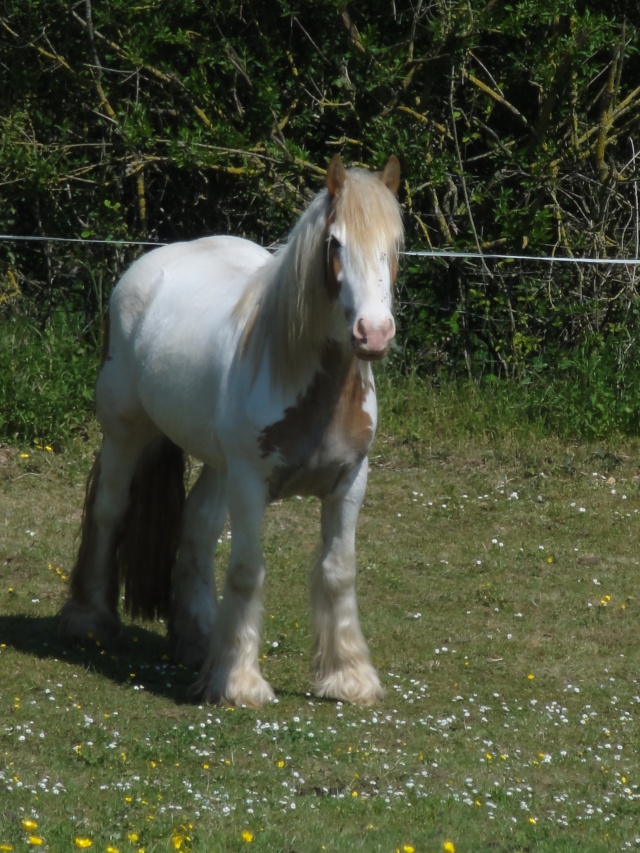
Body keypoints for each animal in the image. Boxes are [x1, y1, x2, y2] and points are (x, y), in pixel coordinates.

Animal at [58, 153, 400, 704]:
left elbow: (338, 571)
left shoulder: (349, 482)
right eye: (334, 243)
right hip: (126, 433)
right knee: (109, 509)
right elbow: (246, 572)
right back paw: (89, 621)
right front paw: (240, 682)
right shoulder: (249, 483)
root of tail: (157, 261)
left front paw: (348, 676)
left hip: (216, 463)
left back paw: (199, 642)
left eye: (395, 245)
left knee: (196, 525)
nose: (373, 333)